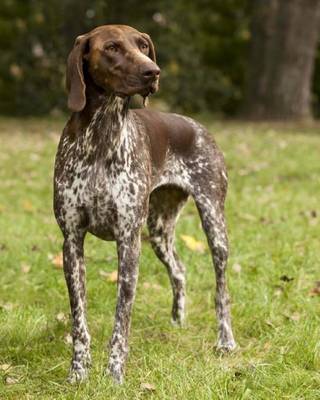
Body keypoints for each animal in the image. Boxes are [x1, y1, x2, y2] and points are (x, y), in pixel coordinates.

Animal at [53, 25, 236, 384]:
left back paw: (225, 340)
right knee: (179, 270)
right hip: (158, 231)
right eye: (112, 47)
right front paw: (78, 372)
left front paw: (114, 375)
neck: (102, 136)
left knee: (221, 290)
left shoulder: (128, 242)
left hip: (213, 224)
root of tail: (196, 125)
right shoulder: (72, 242)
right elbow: (79, 320)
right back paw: (178, 321)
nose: (153, 72)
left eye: (143, 46)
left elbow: (121, 322)